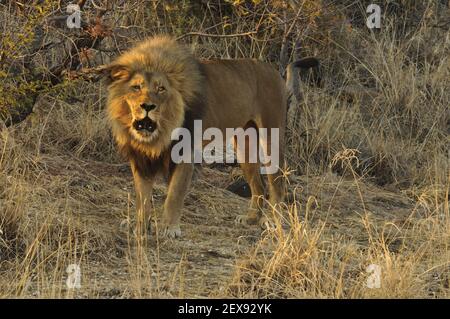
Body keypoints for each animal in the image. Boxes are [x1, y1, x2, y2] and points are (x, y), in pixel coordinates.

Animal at [103, 36, 318, 239]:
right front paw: (140, 226)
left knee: (277, 183)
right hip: (244, 145)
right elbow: (143, 197)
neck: (161, 130)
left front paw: (170, 229)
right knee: (259, 184)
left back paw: (272, 221)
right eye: (136, 87)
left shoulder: (185, 153)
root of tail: (275, 72)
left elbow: (174, 194)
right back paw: (250, 218)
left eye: (161, 88)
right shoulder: (140, 157)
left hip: (270, 135)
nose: (147, 106)